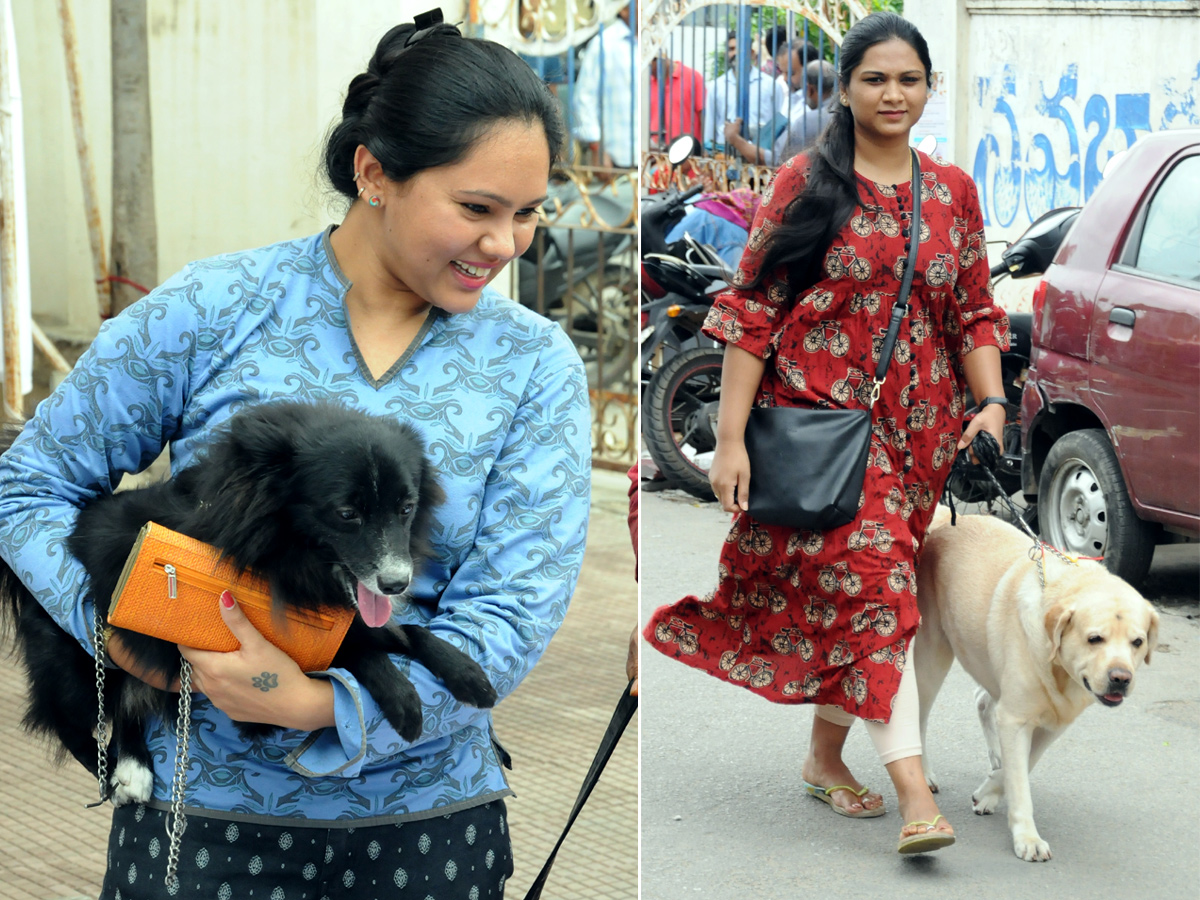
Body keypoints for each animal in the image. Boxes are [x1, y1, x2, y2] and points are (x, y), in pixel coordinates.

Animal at [0, 400, 496, 801]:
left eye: (406, 508)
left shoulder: (350, 616)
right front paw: (404, 701)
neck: (286, 554)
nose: (396, 582)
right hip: (76, 662)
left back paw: (135, 768)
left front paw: (469, 675)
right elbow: (358, 651)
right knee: (74, 719)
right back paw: (119, 774)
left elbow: (405, 632)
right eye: (347, 514)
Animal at [912, 511, 1156, 864]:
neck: (1060, 672)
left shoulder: (1051, 725)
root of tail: (947, 517)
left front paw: (990, 792)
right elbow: (1020, 781)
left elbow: (1023, 765)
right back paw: (925, 772)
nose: (1121, 678)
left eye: (1137, 642)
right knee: (918, 715)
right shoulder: (1016, 719)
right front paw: (1027, 837)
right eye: (1094, 638)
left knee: (983, 700)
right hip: (933, 656)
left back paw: (995, 757)